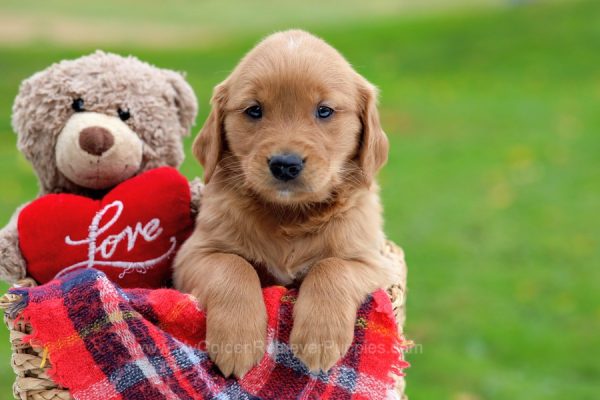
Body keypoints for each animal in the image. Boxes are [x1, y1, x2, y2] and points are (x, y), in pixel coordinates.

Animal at [173, 28, 398, 378]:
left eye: (324, 111)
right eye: (254, 110)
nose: (285, 164)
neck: (289, 215)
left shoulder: (374, 262)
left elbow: (331, 266)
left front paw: (320, 338)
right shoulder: (193, 254)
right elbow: (233, 266)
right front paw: (237, 342)